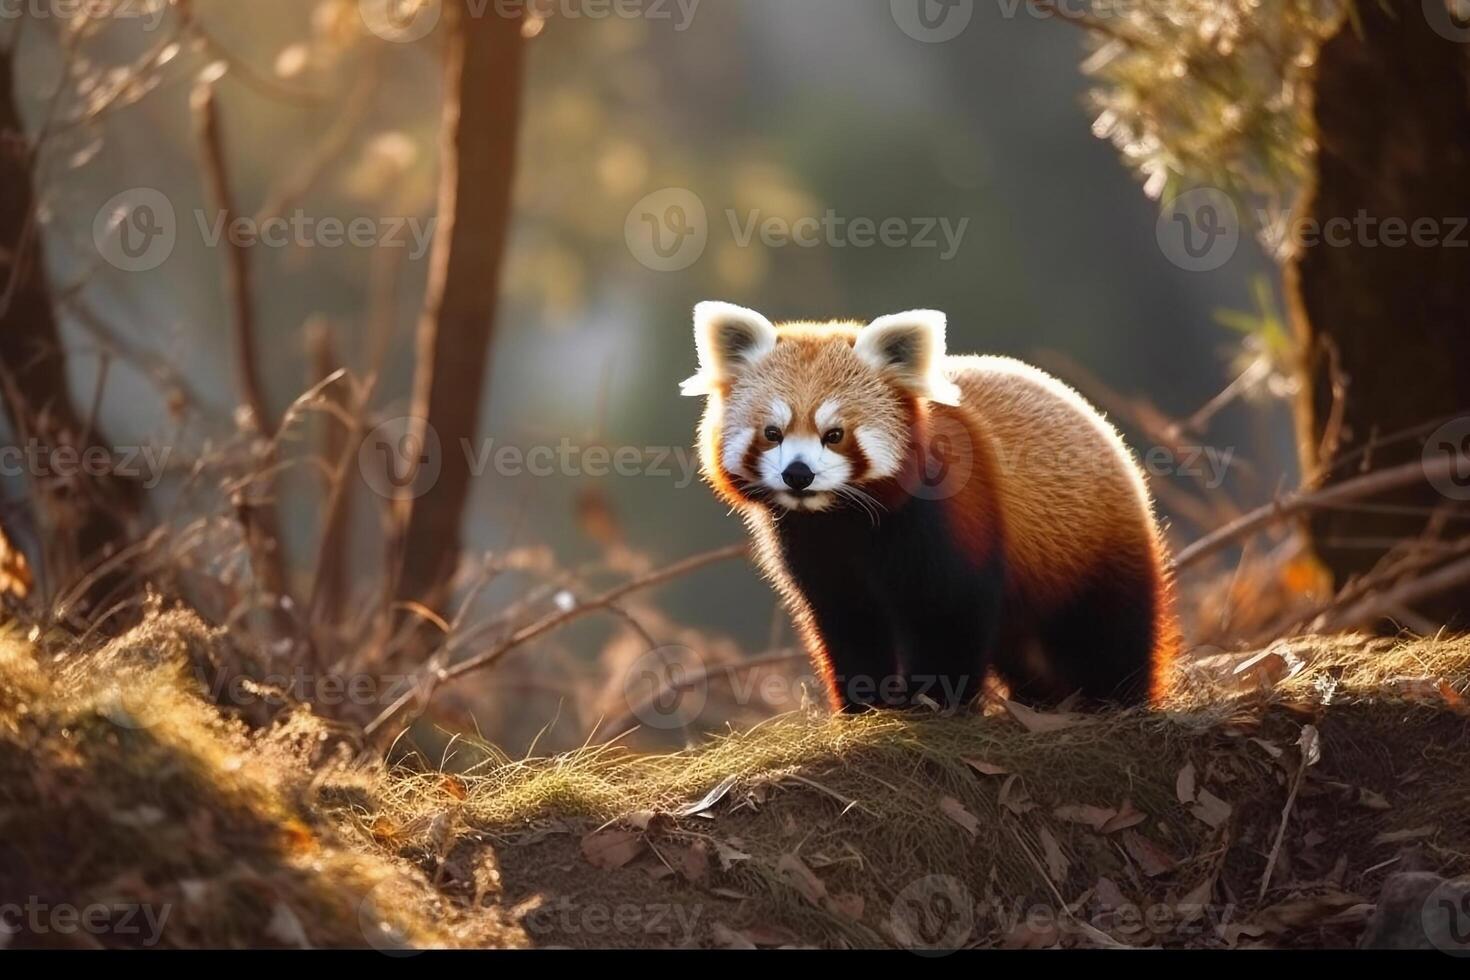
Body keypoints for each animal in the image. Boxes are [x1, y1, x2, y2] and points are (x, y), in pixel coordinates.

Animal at [682, 301, 1176, 714]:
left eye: (834, 434)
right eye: (773, 433)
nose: (798, 474)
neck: (843, 518)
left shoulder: (944, 521)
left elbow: (948, 612)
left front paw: (935, 702)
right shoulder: (811, 547)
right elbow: (848, 623)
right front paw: (864, 704)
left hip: (1097, 552)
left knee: (1111, 635)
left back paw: (1116, 700)